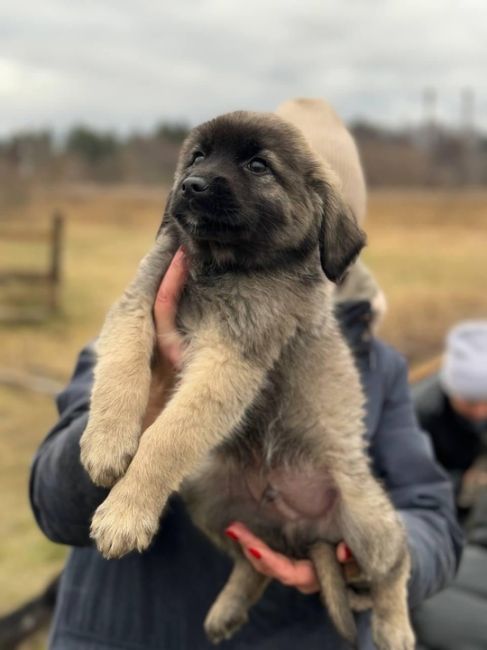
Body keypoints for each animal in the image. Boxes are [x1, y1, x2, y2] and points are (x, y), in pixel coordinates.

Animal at [80, 111, 416, 648]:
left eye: (258, 166)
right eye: (196, 156)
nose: (191, 185)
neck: (220, 266)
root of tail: (300, 531)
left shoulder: (231, 358)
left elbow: (167, 438)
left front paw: (125, 514)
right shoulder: (135, 307)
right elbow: (120, 372)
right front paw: (106, 443)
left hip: (367, 521)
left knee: (394, 566)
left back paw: (394, 627)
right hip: (207, 495)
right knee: (251, 563)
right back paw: (228, 607)